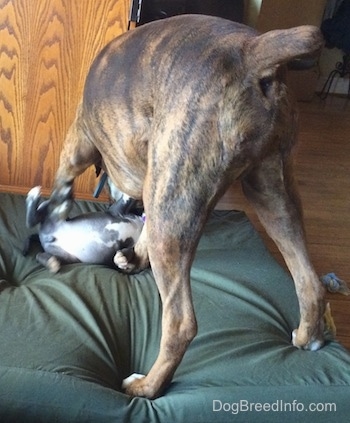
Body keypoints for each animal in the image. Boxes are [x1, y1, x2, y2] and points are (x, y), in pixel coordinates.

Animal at [45, 14, 326, 400]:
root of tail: (251, 51)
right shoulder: (155, 184)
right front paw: (134, 257)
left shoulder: (78, 145)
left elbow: (60, 187)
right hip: (272, 193)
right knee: (310, 281)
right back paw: (306, 337)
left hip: (175, 205)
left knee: (180, 323)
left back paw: (147, 386)